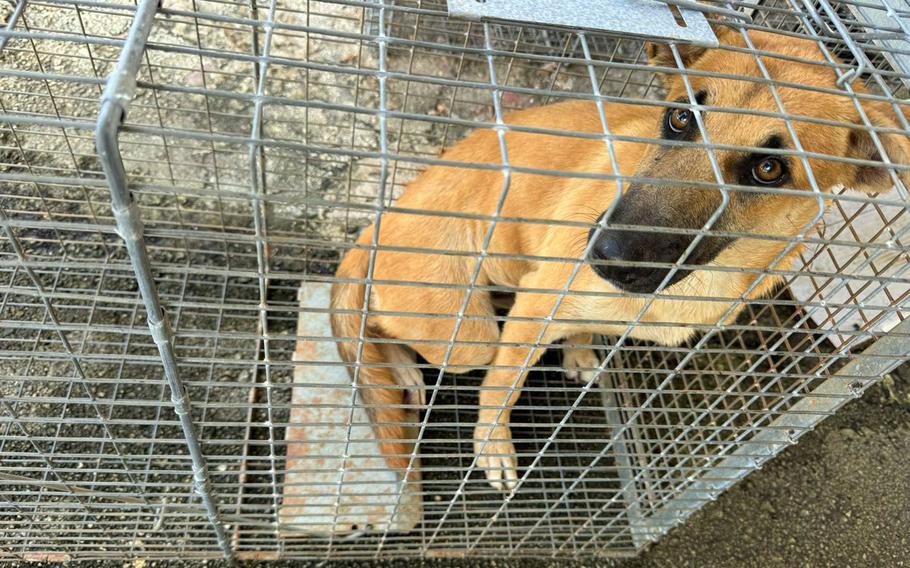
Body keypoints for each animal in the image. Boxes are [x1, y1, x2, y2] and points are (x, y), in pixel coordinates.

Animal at [332, 24, 908, 490]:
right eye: (680, 118)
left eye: (769, 170)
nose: (604, 254)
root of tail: (376, 224)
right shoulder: (534, 310)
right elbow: (501, 387)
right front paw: (493, 446)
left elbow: (581, 328)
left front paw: (579, 352)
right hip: (466, 336)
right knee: (391, 326)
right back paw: (402, 368)